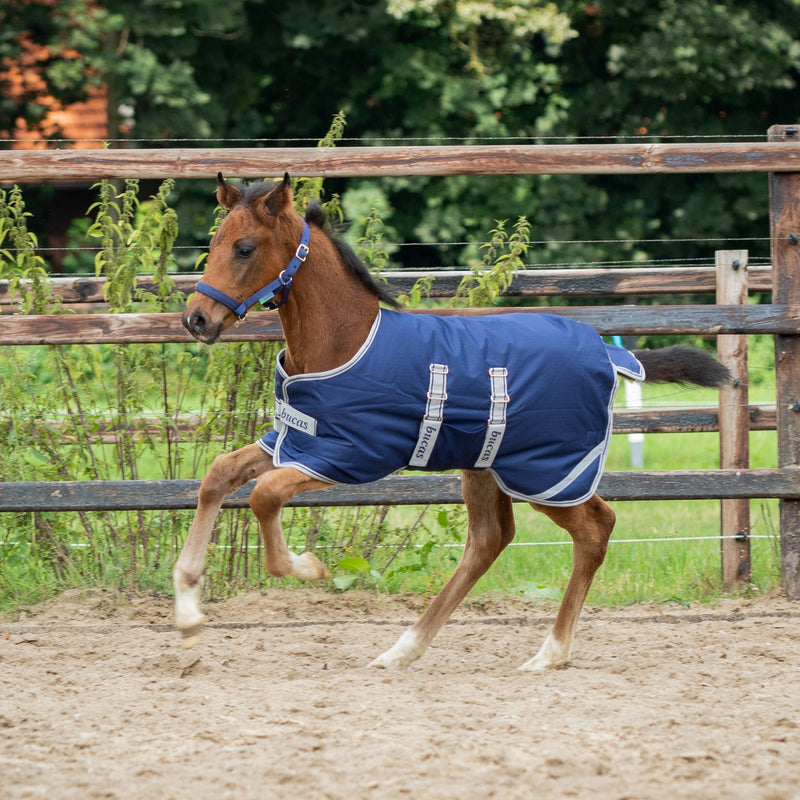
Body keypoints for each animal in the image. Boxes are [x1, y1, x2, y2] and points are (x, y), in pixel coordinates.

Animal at [175, 173, 731, 670]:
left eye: (245, 247)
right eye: (215, 243)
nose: (196, 319)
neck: (345, 340)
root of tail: (608, 354)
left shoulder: (349, 455)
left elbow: (265, 495)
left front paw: (308, 566)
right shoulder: (292, 440)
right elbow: (219, 474)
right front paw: (187, 614)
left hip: (548, 474)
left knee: (595, 529)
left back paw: (548, 654)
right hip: (487, 465)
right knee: (489, 540)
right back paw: (402, 651)